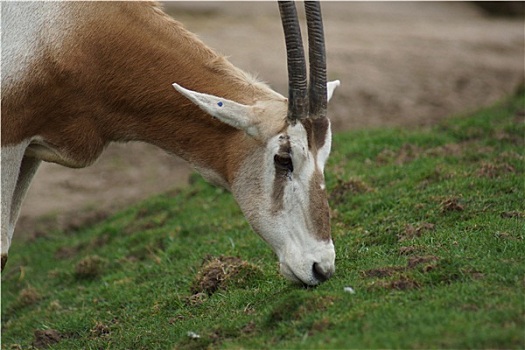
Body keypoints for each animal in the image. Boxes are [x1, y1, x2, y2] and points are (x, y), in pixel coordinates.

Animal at [1, 1, 340, 286]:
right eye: (283, 158)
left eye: (323, 156)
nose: (321, 267)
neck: (69, 31)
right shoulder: (10, 142)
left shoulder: (30, 152)